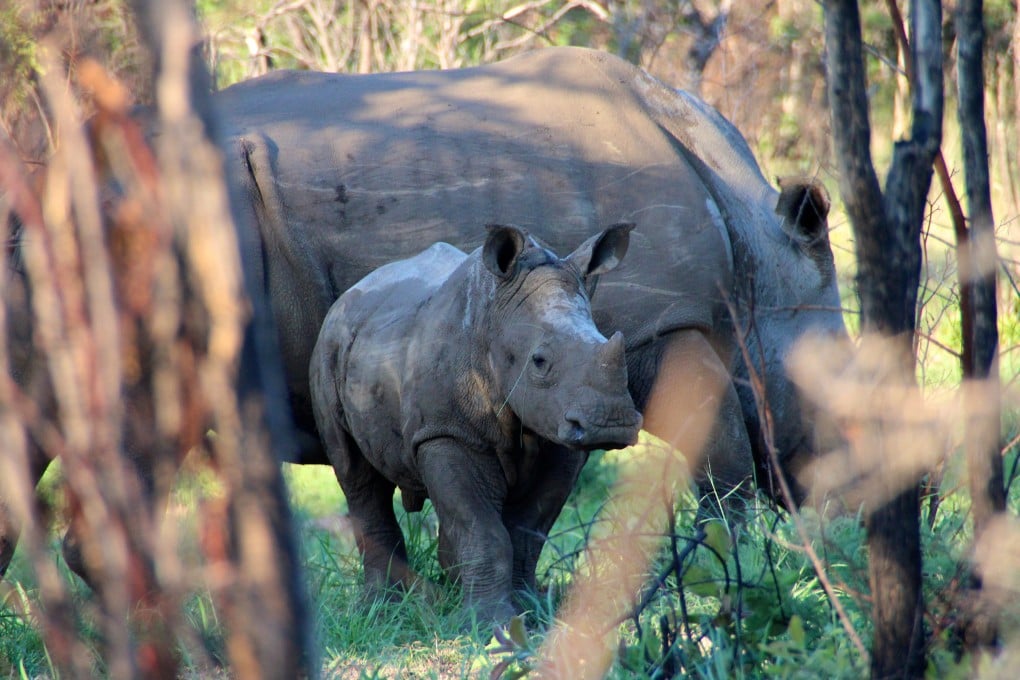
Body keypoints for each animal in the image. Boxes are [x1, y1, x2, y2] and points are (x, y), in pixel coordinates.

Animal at [311, 223, 641, 621]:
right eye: (539, 361)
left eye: (607, 341)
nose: (612, 422)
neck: (493, 318)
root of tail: (348, 295)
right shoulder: (446, 432)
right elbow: (481, 527)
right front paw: (489, 621)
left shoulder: (560, 443)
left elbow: (526, 529)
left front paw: (529, 610)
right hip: (328, 346)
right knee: (355, 473)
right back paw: (382, 606)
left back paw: (445, 593)